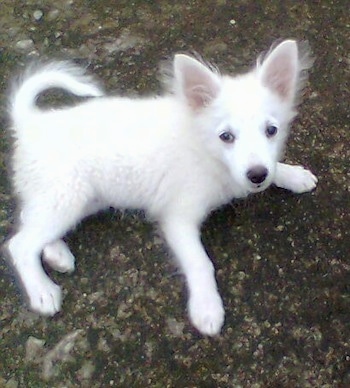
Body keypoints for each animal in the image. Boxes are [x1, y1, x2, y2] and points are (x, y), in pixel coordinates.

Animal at [6, 40, 318, 336]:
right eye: (226, 136)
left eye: (271, 131)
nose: (256, 176)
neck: (204, 147)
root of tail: (31, 123)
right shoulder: (178, 218)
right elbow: (200, 263)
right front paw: (207, 308)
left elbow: (273, 166)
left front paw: (292, 175)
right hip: (69, 194)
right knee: (19, 243)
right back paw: (42, 290)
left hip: (79, 197)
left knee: (27, 219)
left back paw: (56, 253)